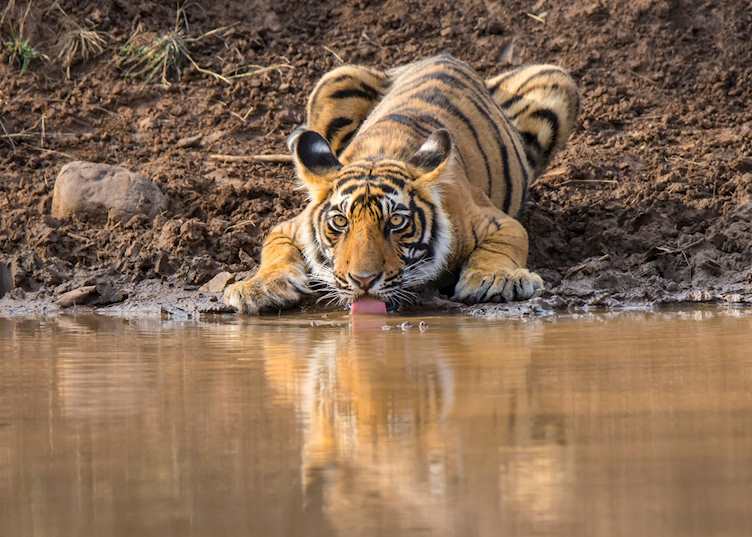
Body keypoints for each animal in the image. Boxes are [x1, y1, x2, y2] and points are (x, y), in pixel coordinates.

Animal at [224, 54, 579, 313]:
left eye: (396, 222)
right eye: (340, 222)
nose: (363, 281)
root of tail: (444, 55)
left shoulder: (497, 221)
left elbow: (504, 245)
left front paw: (495, 279)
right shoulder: (290, 227)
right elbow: (274, 251)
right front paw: (259, 287)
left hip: (555, 80)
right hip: (336, 79)